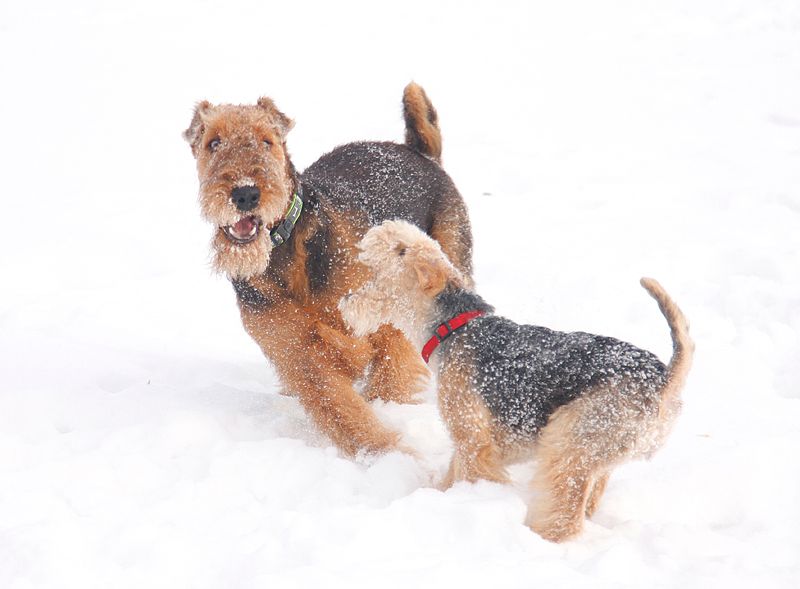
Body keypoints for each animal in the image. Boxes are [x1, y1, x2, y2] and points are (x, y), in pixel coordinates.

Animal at [184, 85, 472, 458]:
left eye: (267, 141)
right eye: (214, 142)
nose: (246, 193)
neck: (287, 251)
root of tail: (419, 152)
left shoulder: (380, 312)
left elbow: (380, 368)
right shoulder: (294, 351)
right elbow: (339, 404)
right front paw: (383, 452)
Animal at [340, 218, 692, 540]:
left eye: (400, 251)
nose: (376, 230)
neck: (453, 326)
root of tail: (664, 381)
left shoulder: (472, 436)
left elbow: (468, 474)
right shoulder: (476, 437)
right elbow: (452, 473)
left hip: (568, 441)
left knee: (566, 514)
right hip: (596, 452)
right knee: (588, 499)